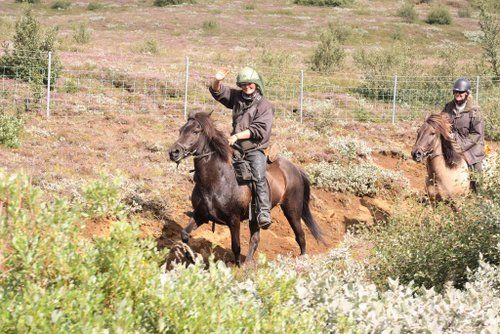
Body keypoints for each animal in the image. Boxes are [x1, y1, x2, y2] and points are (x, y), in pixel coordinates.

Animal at [168, 112, 324, 266]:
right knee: (255, 240)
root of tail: (295, 168)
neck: (217, 181)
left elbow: (236, 246)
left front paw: (237, 267)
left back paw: (301, 260)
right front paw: (191, 256)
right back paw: (248, 264)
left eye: (195, 131)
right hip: (255, 218)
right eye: (180, 130)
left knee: (300, 235)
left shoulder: (234, 220)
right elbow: (184, 234)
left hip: (292, 210)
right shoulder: (201, 215)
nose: (173, 152)